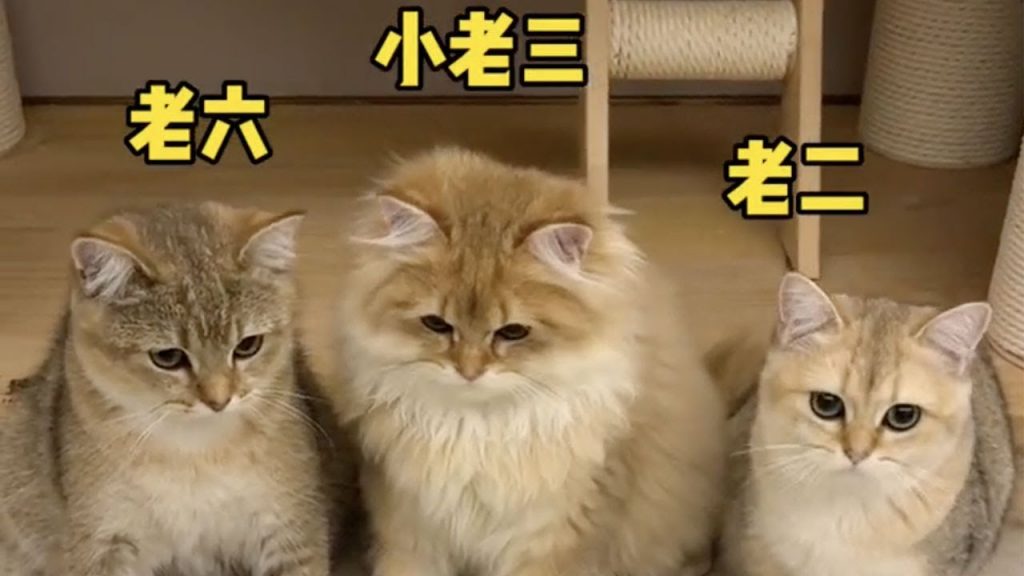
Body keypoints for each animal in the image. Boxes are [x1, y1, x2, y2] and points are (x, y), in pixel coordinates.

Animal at [0, 202, 355, 576]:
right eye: (168, 357)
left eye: (248, 346)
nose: (219, 400)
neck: (195, 454)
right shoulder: (104, 542)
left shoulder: (289, 530)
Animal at [333, 147, 726, 576]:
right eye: (436, 324)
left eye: (513, 332)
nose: (469, 372)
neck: (477, 430)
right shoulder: (409, 526)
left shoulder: (553, 537)